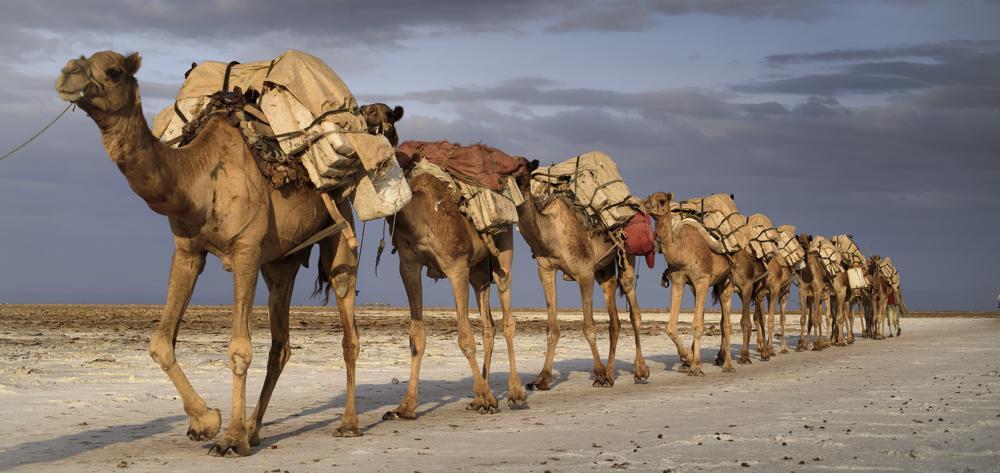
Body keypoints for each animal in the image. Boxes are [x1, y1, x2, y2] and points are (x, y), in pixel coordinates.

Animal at [55, 50, 368, 454]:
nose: (68, 74)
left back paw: (347, 423)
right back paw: (254, 428)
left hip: (339, 227)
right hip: (280, 262)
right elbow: (161, 342)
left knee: (347, 325)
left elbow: (239, 349)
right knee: (280, 345)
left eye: (113, 71)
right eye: (79, 59)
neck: (199, 179)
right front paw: (206, 422)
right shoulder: (188, 251)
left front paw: (229, 439)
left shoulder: (246, 250)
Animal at [378, 161, 536, 416]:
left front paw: (488, 399)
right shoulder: (408, 265)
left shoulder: (457, 265)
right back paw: (480, 395)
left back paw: (514, 393)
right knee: (488, 324)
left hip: (503, 246)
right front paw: (405, 407)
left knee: (507, 315)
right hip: (479, 270)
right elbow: (416, 337)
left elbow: (465, 339)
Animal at [516, 173, 648, 390]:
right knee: (614, 319)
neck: (550, 230)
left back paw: (640, 371)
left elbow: (589, 326)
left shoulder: (584, 272)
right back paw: (611, 375)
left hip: (627, 254)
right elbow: (552, 327)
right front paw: (541, 379)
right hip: (603, 270)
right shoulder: (545, 270)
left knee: (634, 309)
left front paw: (599, 374)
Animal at [644, 192, 740, 376]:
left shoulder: (702, 280)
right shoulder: (678, 281)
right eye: (647, 198)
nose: (646, 206)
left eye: (662, 201)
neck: (683, 251)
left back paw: (728, 365)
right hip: (701, 287)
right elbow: (671, 327)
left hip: (727, 279)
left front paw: (695, 366)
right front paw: (687, 358)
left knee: (726, 323)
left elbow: (696, 325)